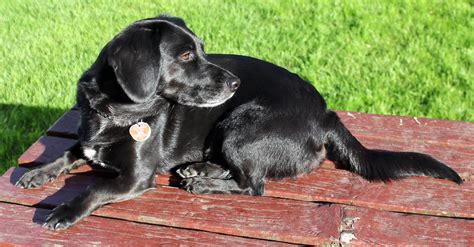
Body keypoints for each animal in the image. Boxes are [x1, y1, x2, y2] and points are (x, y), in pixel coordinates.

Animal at [15, 14, 462, 230]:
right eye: (185, 56)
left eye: (201, 49)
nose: (235, 83)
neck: (114, 112)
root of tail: (325, 113)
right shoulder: (88, 139)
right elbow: (70, 152)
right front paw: (37, 172)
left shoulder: (135, 178)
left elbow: (93, 189)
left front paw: (63, 211)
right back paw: (199, 168)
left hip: (240, 128)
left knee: (254, 186)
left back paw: (202, 182)